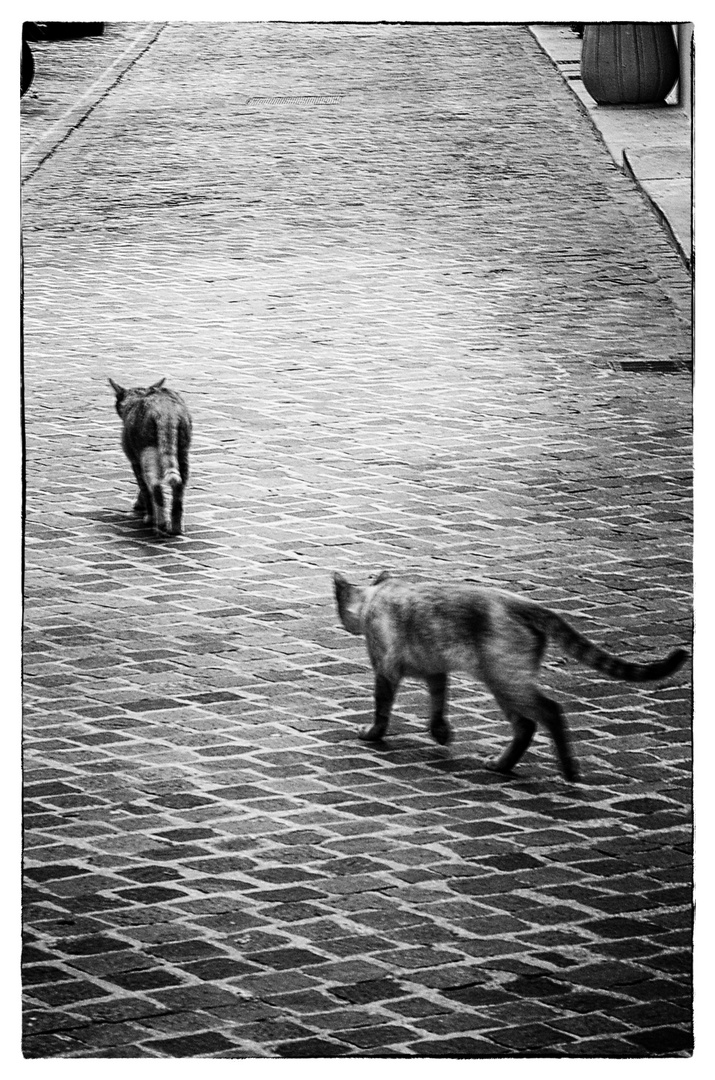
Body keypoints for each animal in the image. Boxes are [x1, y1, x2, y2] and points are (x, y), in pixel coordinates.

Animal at [109, 378, 193, 537]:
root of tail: (166, 411)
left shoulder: (136, 461)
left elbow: (144, 489)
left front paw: (145, 510)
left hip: (148, 453)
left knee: (155, 488)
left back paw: (158, 522)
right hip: (182, 452)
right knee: (178, 490)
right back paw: (176, 528)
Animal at [332, 570, 691, 781]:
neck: (375, 597)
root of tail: (529, 605)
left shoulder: (385, 669)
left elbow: (382, 708)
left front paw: (373, 734)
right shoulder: (436, 670)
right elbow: (438, 705)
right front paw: (441, 734)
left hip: (503, 679)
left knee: (548, 713)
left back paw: (567, 770)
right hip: (502, 682)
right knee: (526, 726)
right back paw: (503, 764)